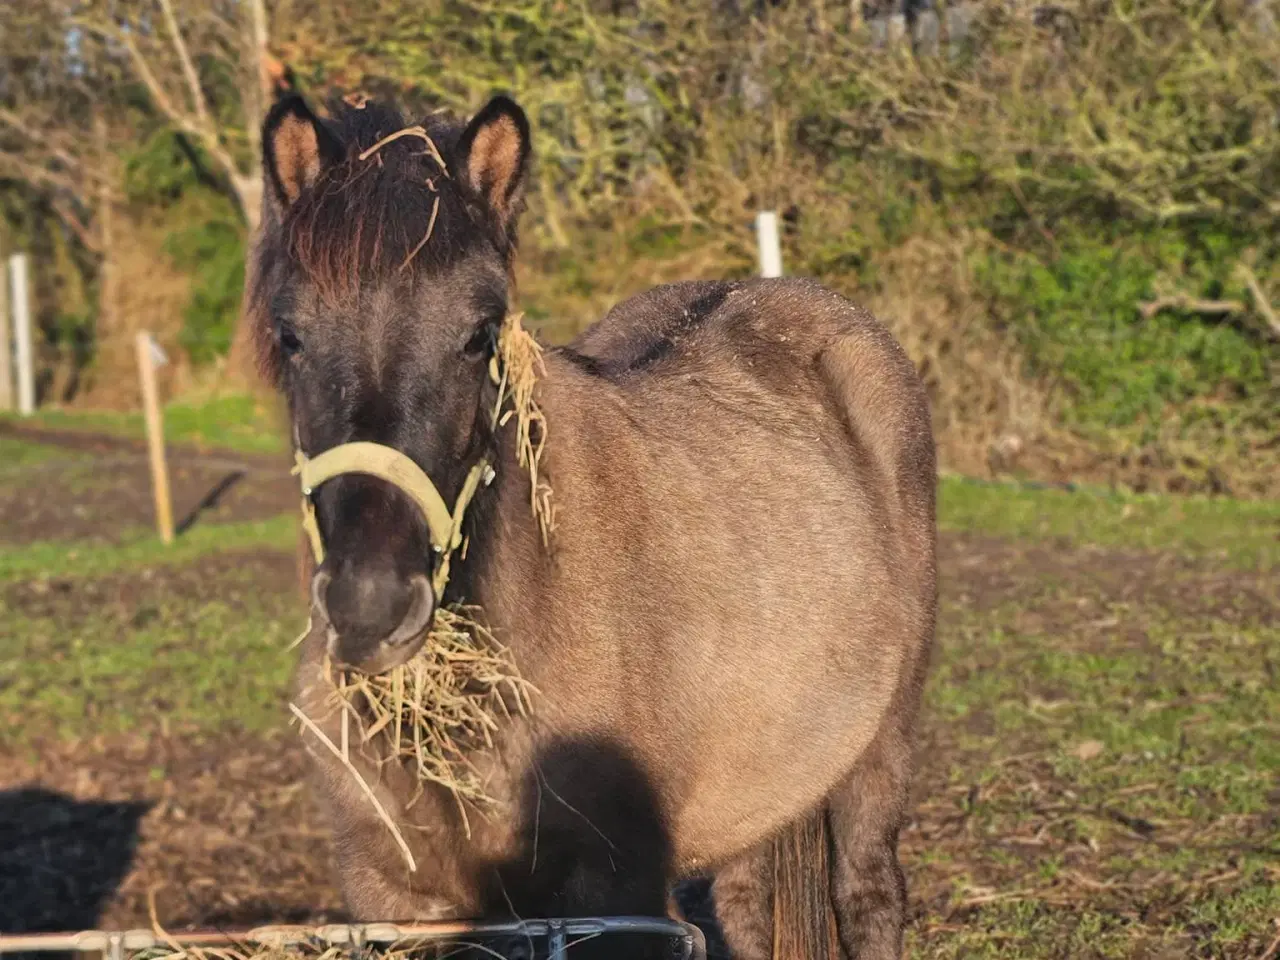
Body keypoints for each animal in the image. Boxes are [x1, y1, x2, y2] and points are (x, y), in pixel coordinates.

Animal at [249, 90, 936, 960]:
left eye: (481, 333)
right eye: (290, 335)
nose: (370, 605)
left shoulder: (615, 898)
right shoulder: (399, 898)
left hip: (881, 746)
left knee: (870, 892)